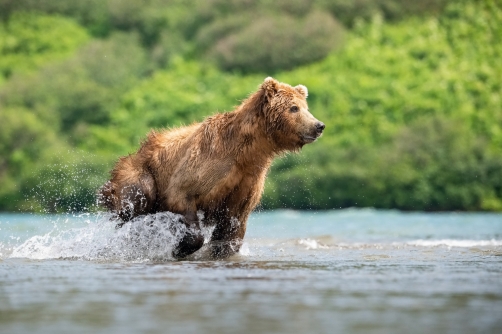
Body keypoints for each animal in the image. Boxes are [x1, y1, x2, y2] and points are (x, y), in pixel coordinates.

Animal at [98, 77, 326, 260]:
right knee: (136, 202)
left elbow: (233, 227)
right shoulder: (202, 167)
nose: (319, 125)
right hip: (139, 174)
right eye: (294, 108)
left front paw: (217, 249)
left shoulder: (247, 182)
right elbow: (182, 195)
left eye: (306, 107)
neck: (247, 152)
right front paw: (181, 247)